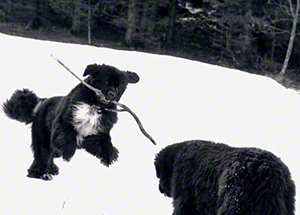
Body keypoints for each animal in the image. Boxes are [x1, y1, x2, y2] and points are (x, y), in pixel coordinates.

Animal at [2, 63, 139, 180]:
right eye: (106, 82)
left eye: (118, 86)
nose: (112, 94)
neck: (94, 104)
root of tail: (41, 103)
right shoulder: (64, 123)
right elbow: (69, 138)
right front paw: (68, 154)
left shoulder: (98, 131)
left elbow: (106, 142)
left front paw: (109, 157)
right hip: (43, 139)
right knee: (42, 156)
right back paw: (38, 173)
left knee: (49, 156)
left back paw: (51, 170)